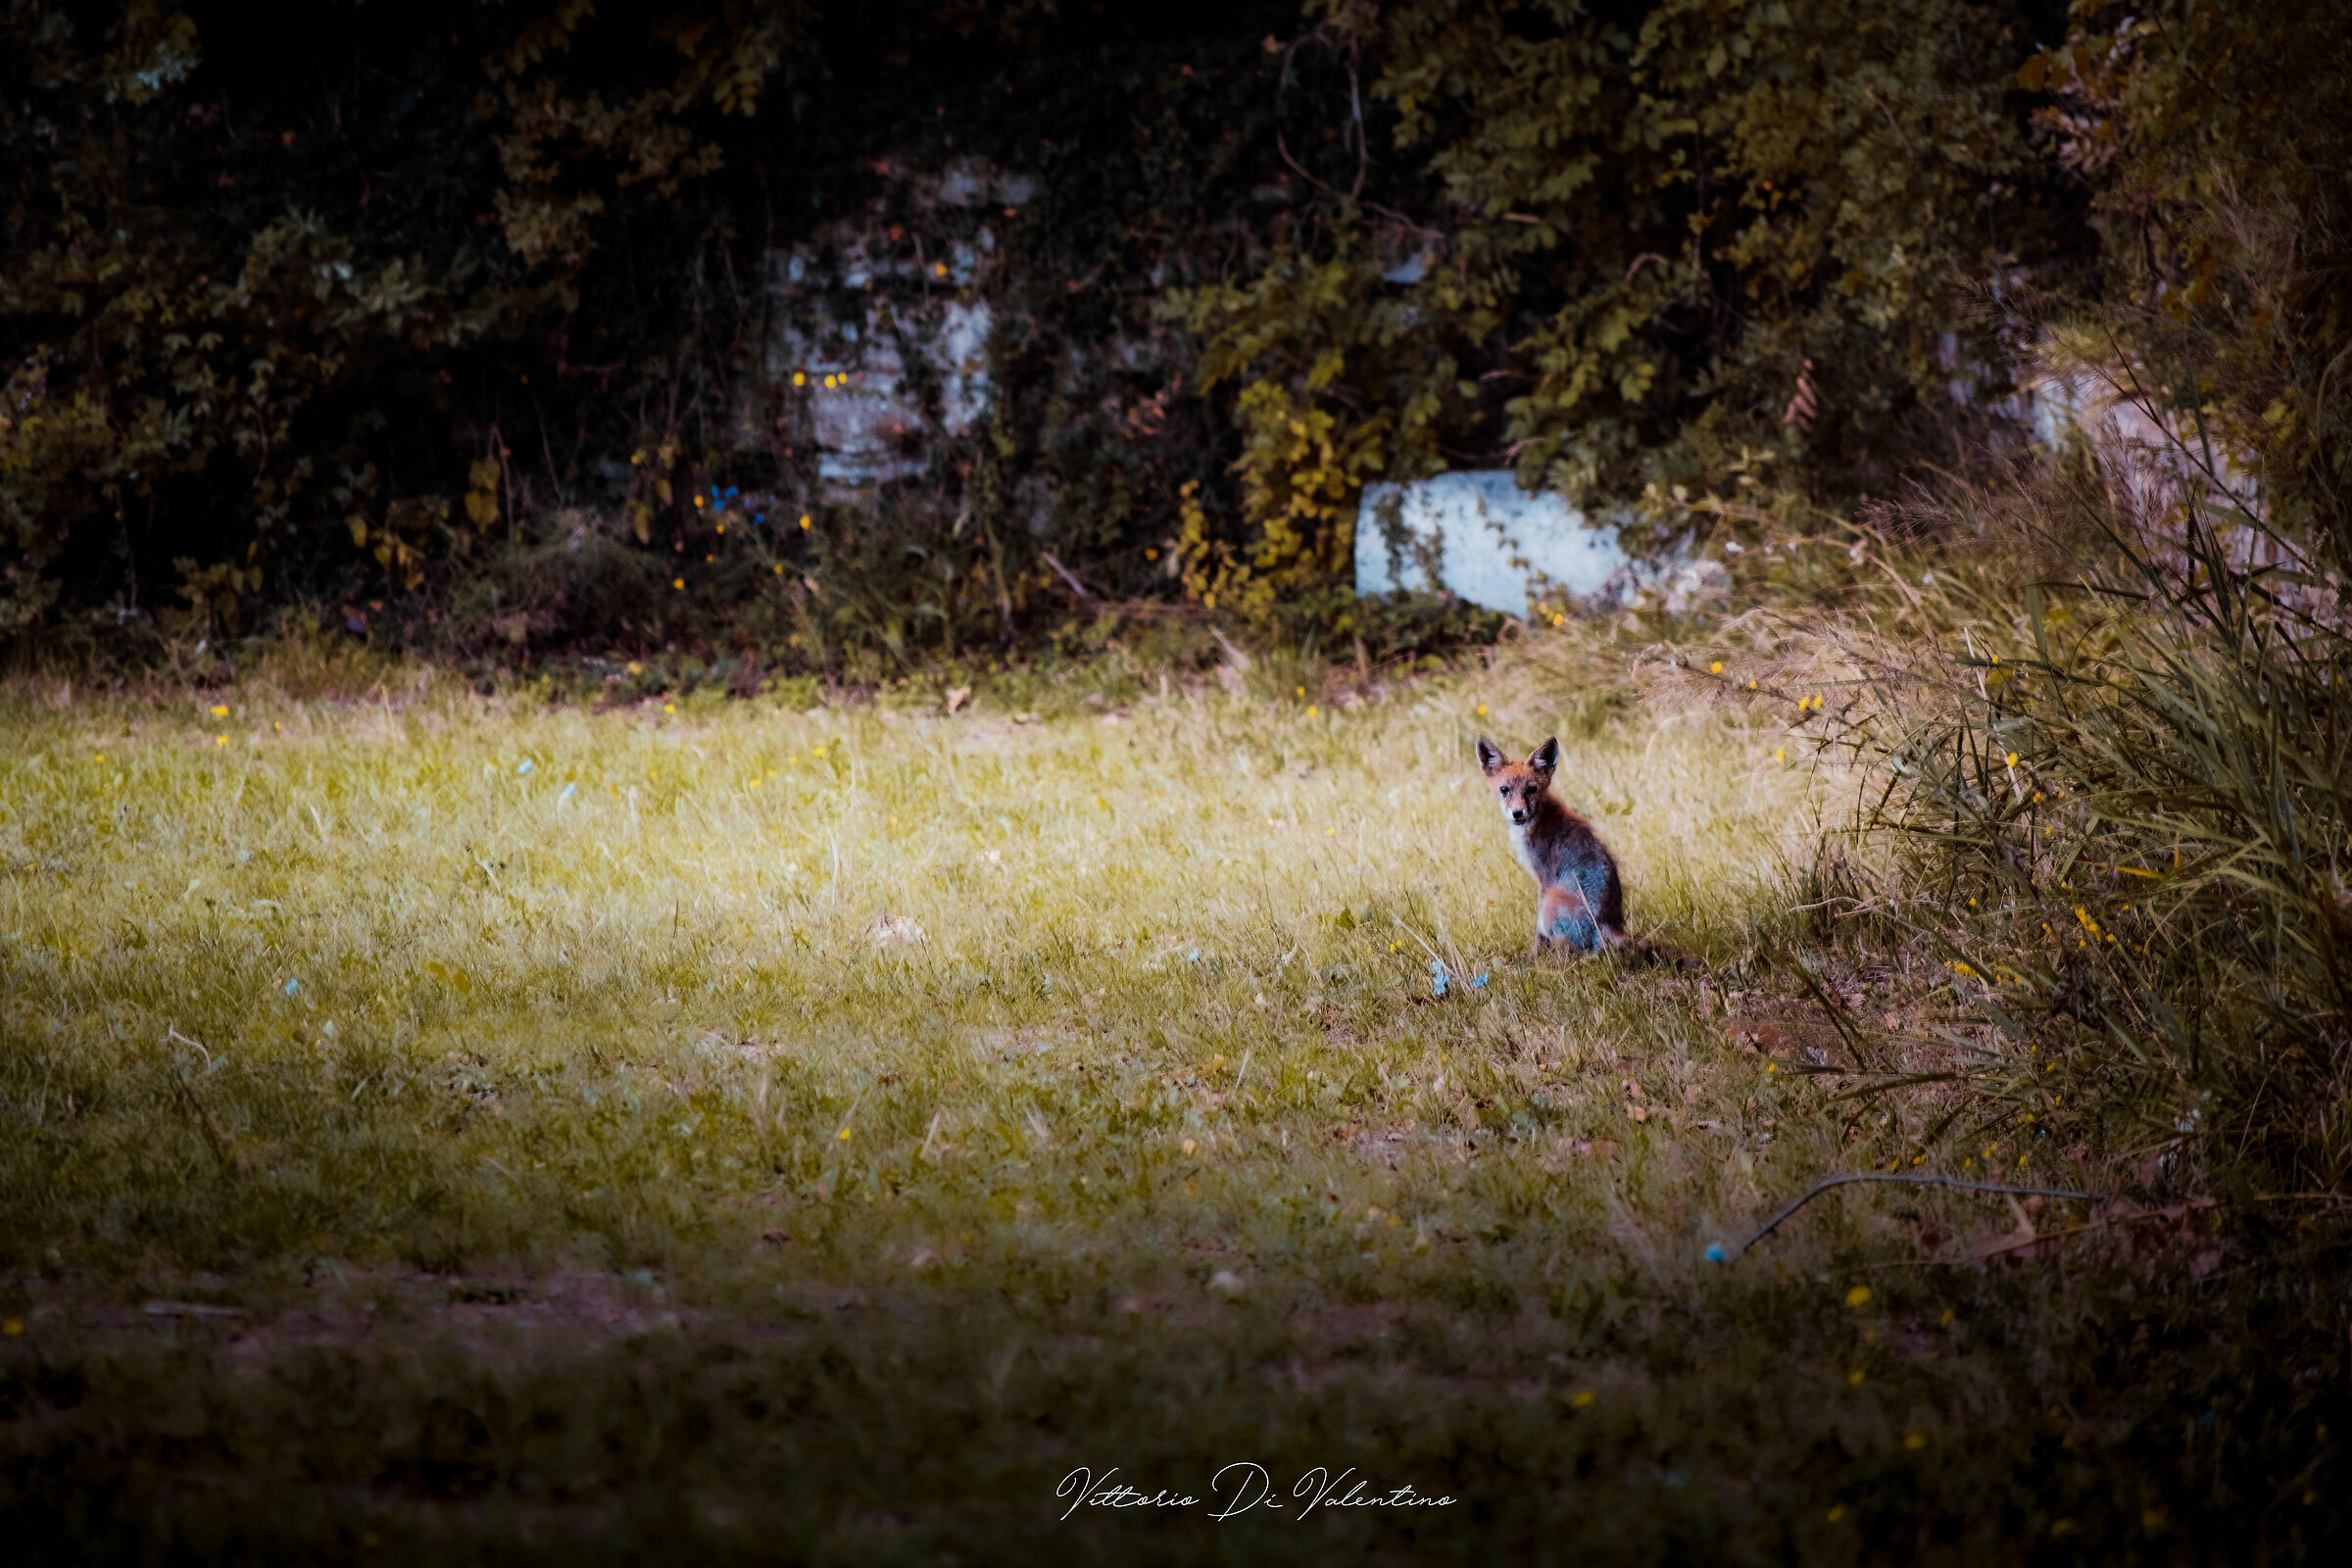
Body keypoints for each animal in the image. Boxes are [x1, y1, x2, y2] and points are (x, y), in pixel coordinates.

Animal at [1477, 734, 1682, 965]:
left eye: (1531, 789)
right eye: (1505, 790)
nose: (1518, 813)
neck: (1539, 817)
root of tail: (1607, 925)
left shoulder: (1544, 881)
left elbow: (1538, 934)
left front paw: (1532, 959)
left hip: (1551, 903)